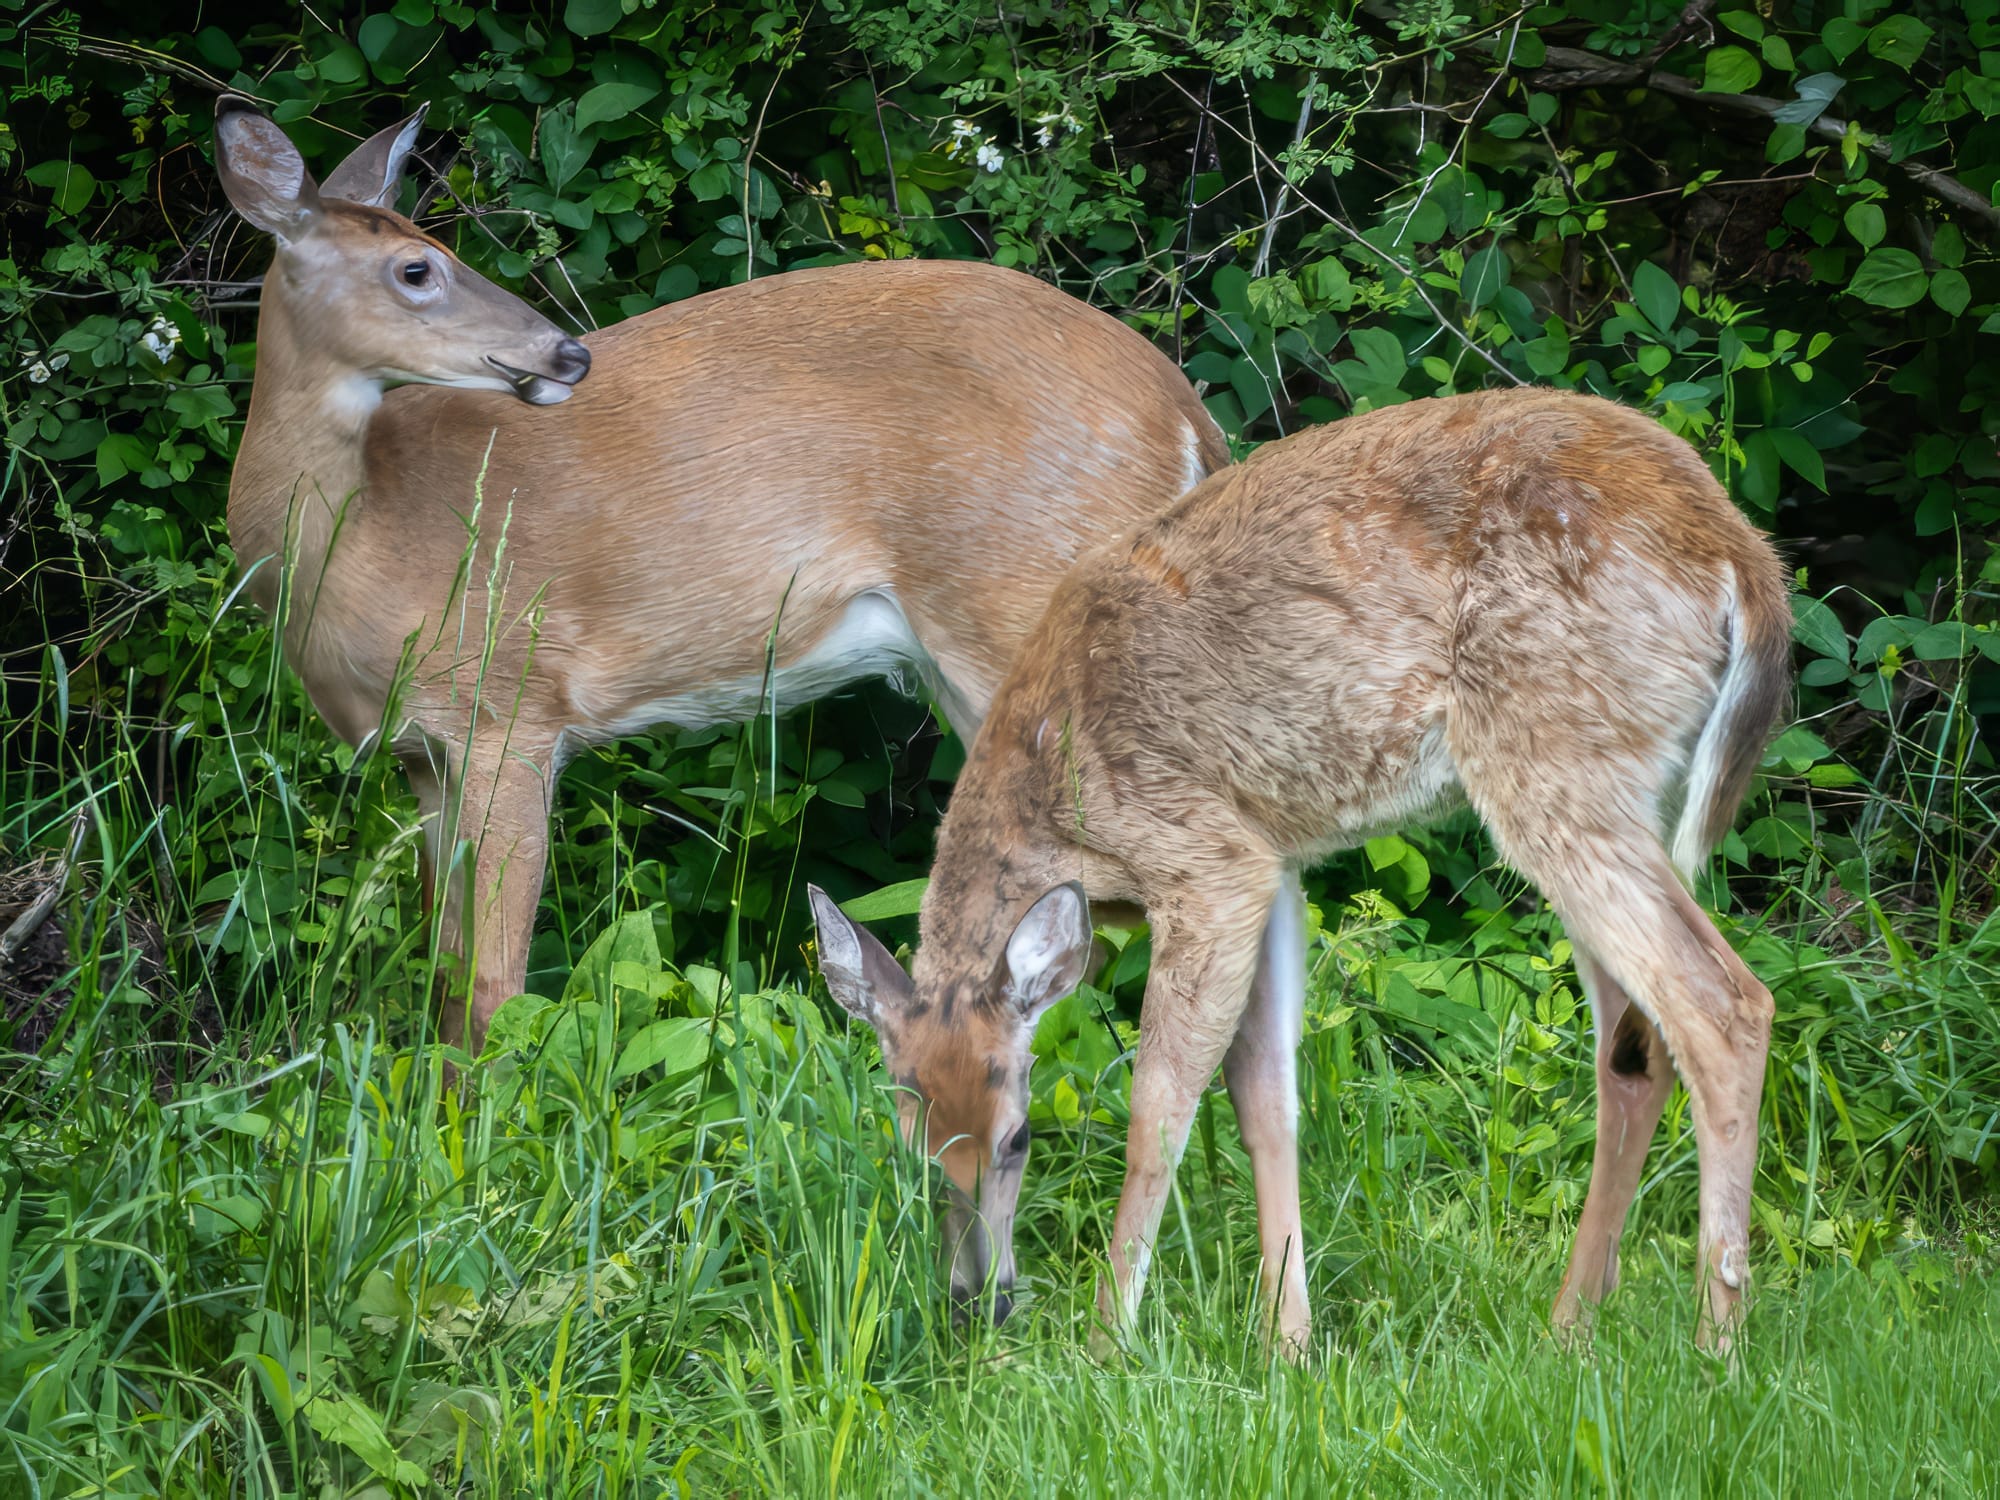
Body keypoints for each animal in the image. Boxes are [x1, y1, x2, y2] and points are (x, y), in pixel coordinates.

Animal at [212, 95, 1228, 1051]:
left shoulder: (507, 711)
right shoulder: (421, 757)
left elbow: (493, 986)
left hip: (1023, 621)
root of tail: (1186, 413)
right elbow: (444, 977)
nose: (566, 352)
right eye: (417, 268)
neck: (369, 540)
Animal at [810, 386, 1792, 1357]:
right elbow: (1265, 1098)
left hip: (1553, 758)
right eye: (910, 1149)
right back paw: (1570, 1329)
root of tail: (1743, 558)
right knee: (1634, 1045)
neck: (1056, 792)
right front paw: (1289, 1343)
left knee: (1723, 1005)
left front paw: (1109, 1342)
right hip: (1611, 786)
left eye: (1018, 1139)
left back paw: (1716, 1344)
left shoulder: (1205, 857)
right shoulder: (1270, 861)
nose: (978, 1302)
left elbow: (1157, 1108)